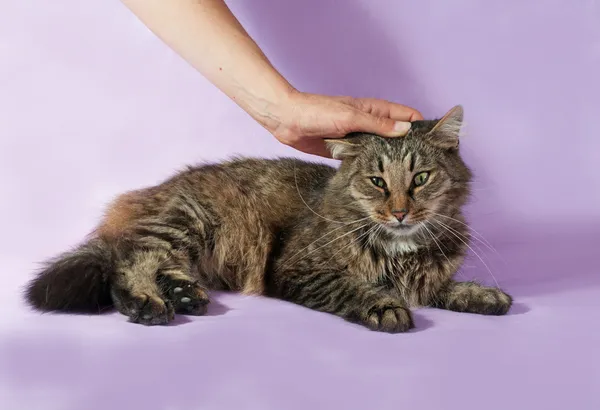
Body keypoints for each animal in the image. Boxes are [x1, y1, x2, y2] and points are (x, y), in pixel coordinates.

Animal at [23, 106, 510, 334]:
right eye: (376, 181)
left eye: (421, 178)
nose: (400, 211)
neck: (400, 249)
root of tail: (152, 192)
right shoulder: (298, 267)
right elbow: (357, 288)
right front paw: (385, 306)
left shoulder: (427, 275)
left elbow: (445, 286)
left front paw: (482, 294)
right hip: (187, 223)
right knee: (129, 261)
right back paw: (149, 302)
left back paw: (184, 294)